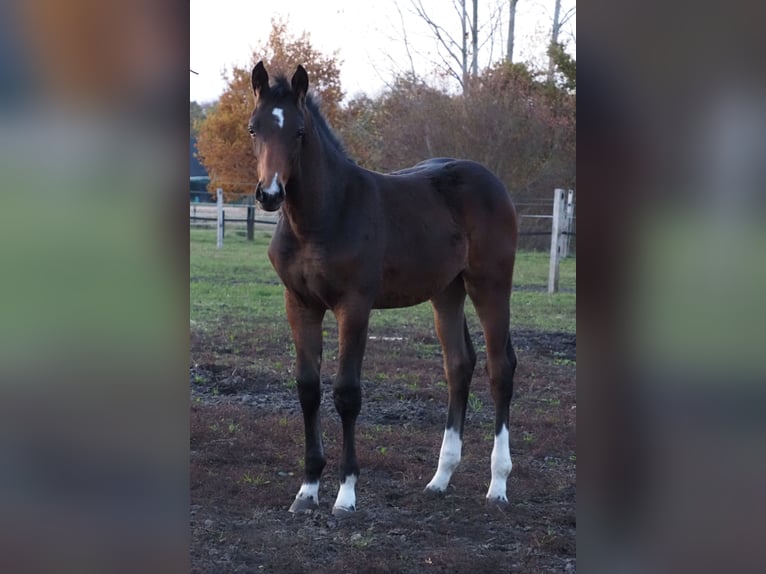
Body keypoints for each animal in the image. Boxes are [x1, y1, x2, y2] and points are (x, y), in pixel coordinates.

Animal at [248, 61, 518, 515]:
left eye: (299, 132)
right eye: (254, 129)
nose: (269, 194)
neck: (322, 216)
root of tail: (492, 182)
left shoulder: (354, 306)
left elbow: (346, 393)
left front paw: (346, 494)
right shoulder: (299, 304)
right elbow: (307, 388)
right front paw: (307, 489)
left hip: (491, 285)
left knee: (501, 368)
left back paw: (497, 485)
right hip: (447, 291)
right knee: (459, 365)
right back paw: (440, 478)